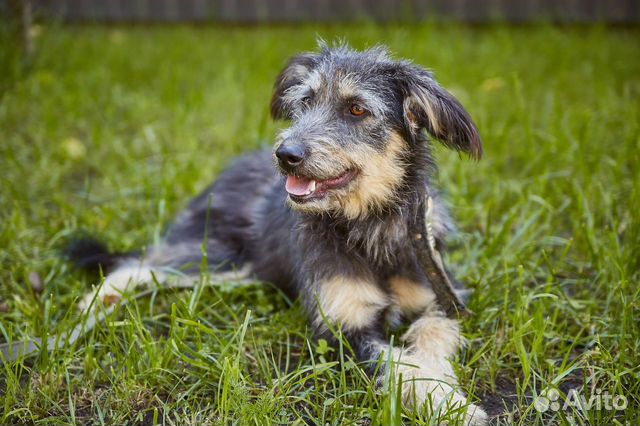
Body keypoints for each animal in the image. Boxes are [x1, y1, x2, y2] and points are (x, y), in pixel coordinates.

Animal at [74, 42, 484, 422]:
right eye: (306, 100)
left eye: (357, 109)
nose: (286, 155)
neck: (370, 224)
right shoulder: (342, 329)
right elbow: (399, 365)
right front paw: (449, 404)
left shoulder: (442, 294)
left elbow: (433, 336)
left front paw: (443, 385)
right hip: (216, 257)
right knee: (135, 266)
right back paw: (87, 313)